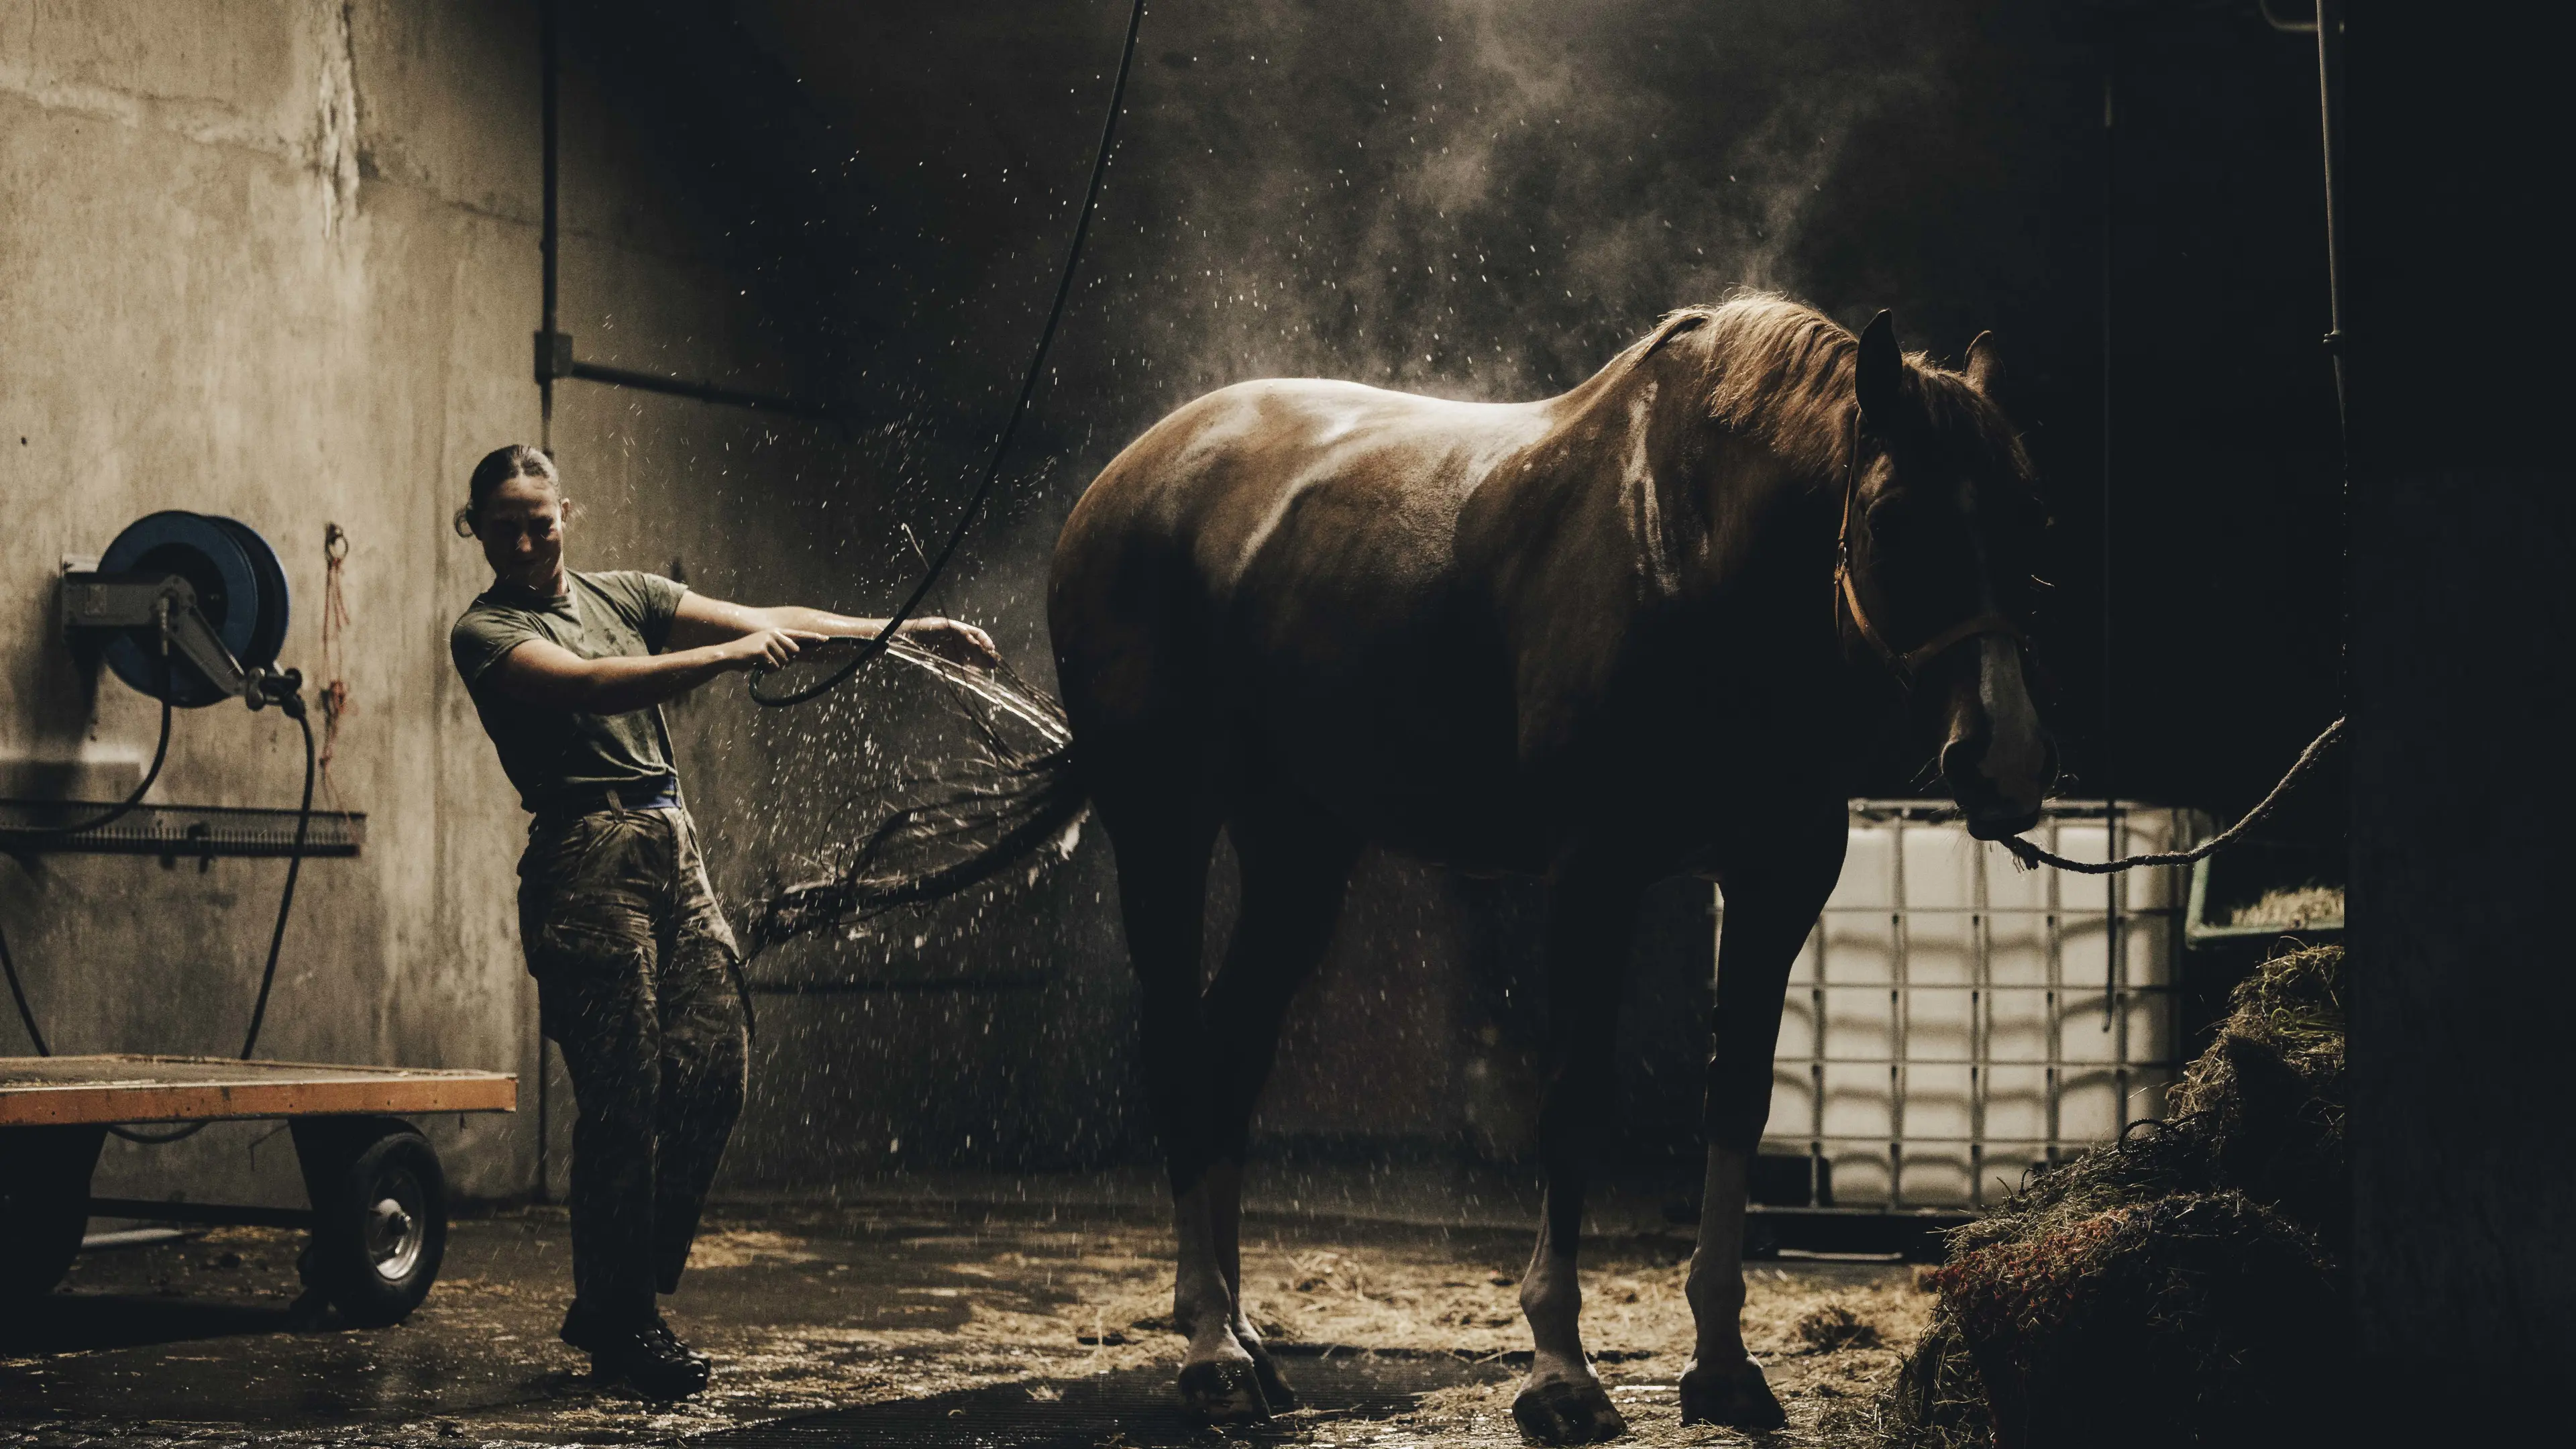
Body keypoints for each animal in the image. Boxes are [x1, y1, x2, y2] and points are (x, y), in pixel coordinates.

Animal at [1043, 292, 2051, 1442]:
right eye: (1890, 517)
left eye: (2026, 517)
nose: (2007, 759)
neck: (1691, 552)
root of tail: (1127, 480)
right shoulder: (1592, 878)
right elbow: (1572, 1103)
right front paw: (1561, 1373)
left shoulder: (1778, 881)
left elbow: (1738, 1100)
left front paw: (1723, 1366)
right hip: (1161, 823)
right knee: (1177, 1045)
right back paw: (1211, 1347)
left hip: (1297, 844)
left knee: (1234, 1049)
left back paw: (1248, 1338)